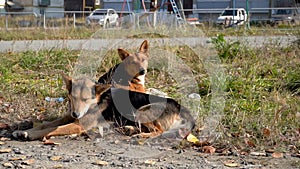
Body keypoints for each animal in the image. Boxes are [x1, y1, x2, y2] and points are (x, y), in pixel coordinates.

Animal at [12, 73, 195, 141]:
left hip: (140, 111)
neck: (96, 101)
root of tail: (180, 106)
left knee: (158, 131)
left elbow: (51, 129)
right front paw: (22, 130)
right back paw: (129, 130)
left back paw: (139, 135)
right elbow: (46, 125)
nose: (76, 113)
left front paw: (29, 134)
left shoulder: (78, 124)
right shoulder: (68, 117)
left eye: (86, 99)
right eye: (73, 98)